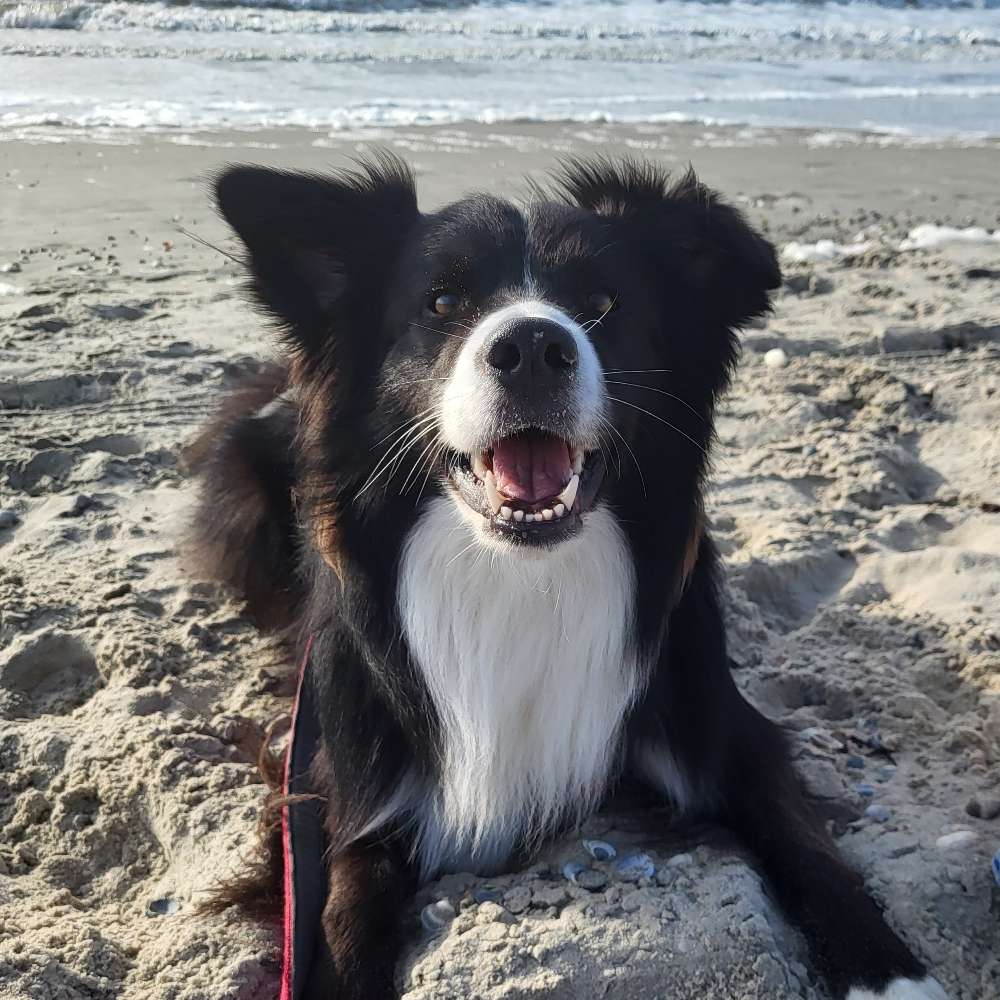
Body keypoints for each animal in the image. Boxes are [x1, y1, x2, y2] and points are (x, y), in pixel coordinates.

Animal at [191, 154, 948, 1000]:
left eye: (603, 303)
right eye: (442, 301)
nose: (530, 346)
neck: (522, 578)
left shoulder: (722, 729)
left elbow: (807, 841)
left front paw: (891, 973)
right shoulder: (347, 788)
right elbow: (344, 913)